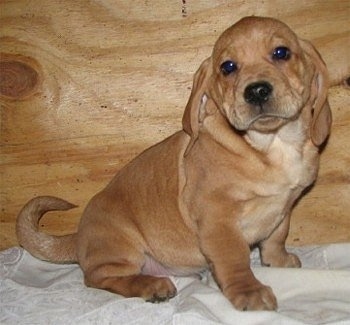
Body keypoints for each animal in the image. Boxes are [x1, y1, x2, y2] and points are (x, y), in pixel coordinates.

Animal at [16, 16, 332, 310]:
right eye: (228, 67)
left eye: (281, 52)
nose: (256, 91)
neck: (272, 144)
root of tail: (79, 235)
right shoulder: (217, 218)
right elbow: (234, 259)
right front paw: (249, 291)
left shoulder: (284, 207)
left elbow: (276, 236)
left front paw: (278, 260)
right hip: (122, 246)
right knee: (99, 277)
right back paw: (150, 286)